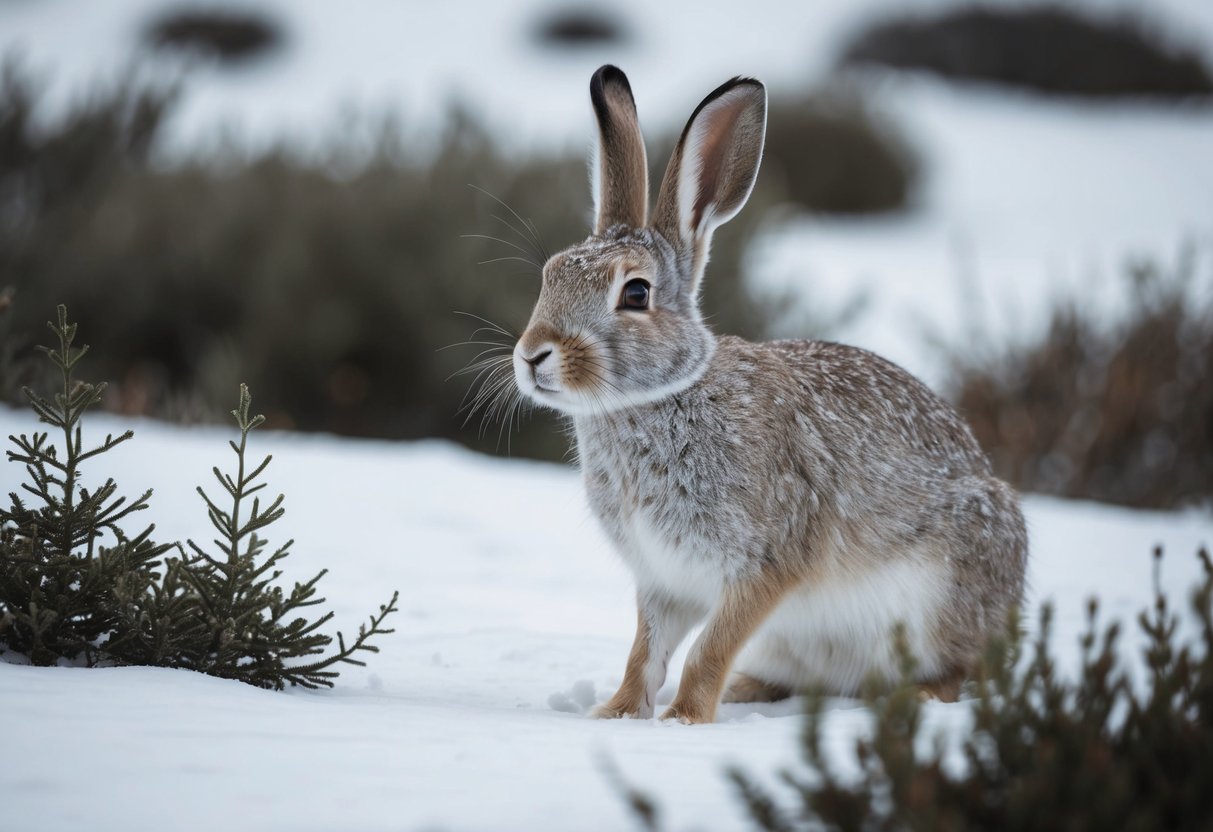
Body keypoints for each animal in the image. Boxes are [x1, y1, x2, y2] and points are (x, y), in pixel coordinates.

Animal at [511, 65, 1028, 724]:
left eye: (635, 294)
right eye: (551, 272)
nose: (532, 356)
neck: (661, 398)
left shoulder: (767, 563)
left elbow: (710, 647)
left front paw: (684, 720)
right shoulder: (664, 580)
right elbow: (646, 651)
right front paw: (619, 714)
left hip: (940, 598)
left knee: (958, 674)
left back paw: (910, 698)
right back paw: (749, 690)